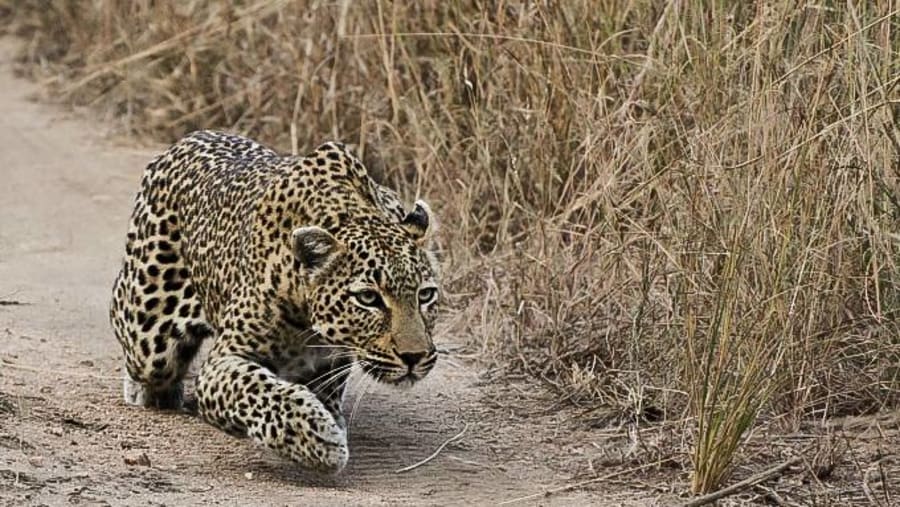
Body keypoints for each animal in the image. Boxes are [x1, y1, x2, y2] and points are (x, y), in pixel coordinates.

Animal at [109, 130, 440, 473]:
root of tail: (191, 137)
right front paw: (318, 437)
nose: (414, 357)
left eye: (425, 295)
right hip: (149, 337)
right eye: (368, 298)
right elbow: (257, 390)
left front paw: (327, 421)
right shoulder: (222, 362)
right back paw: (147, 392)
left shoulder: (330, 366)